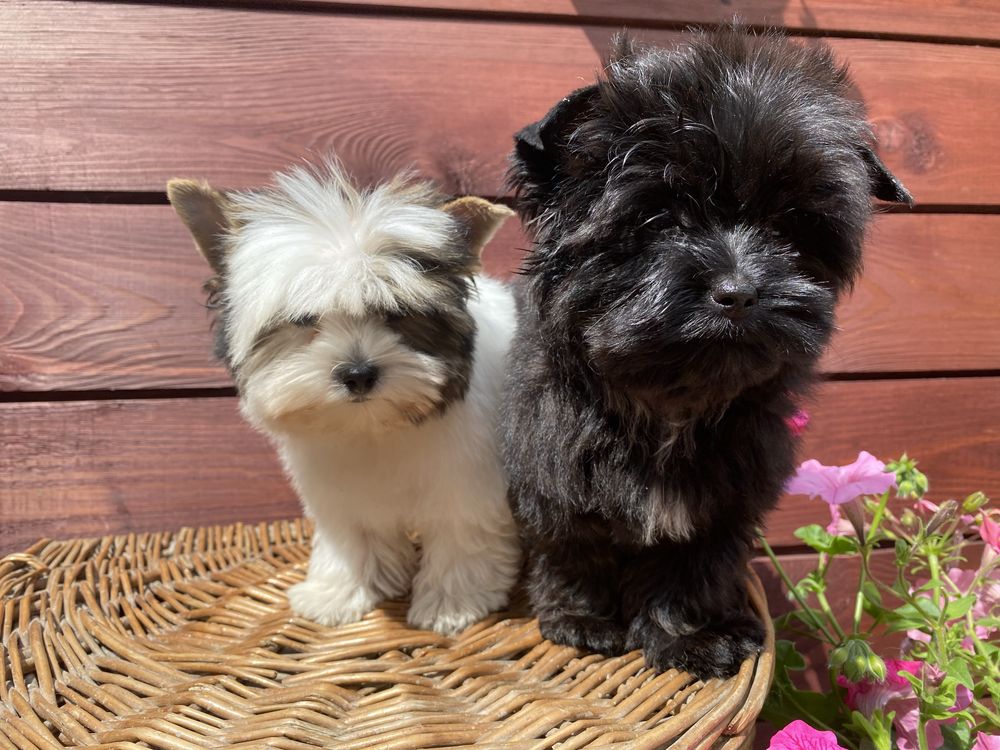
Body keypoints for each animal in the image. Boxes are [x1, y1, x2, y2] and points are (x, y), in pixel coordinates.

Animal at [168, 160, 520, 636]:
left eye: (397, 314)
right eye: (303, 319)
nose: (357, 373)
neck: (371, 428)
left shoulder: (465, 479)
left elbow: (459, 532)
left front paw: (453, 601)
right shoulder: (342, 487)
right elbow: (355, 534)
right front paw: (339, 591)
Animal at [504, 29, 912, 680]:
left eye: (788, 229)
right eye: (658, 219)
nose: (739, 291)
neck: (673, 404)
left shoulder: (726, 501)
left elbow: (694, 565)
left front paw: (691, 636)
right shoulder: (551, 472)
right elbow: (572, 545)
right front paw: (581, 619)